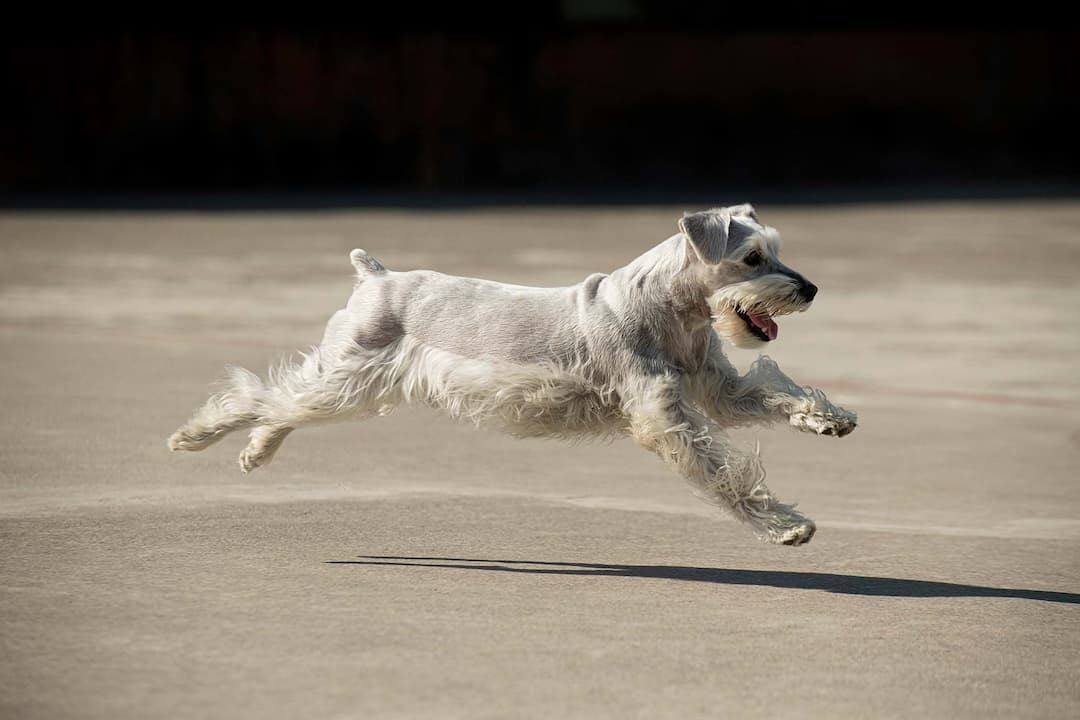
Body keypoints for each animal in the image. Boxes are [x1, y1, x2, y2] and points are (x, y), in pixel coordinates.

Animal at [168, 205, 855, 548]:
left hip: (347, 385)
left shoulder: (717, 392)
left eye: (774, 249)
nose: (811, 289)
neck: (668, 307)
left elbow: (772, 391)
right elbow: (726, 475)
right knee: (263, 395)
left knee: (282, 405)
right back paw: (196, 437)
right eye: (751, 257)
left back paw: (254, 453)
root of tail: (377, 275)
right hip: (346, 379)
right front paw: (787, 526)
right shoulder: (665, 418)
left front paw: (829, 418)